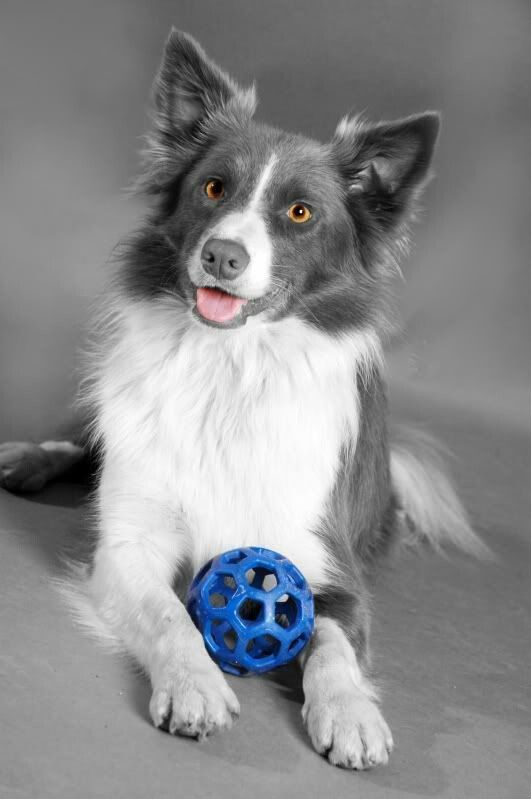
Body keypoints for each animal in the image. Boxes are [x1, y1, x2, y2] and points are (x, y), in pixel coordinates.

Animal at [0, 29, 486, 768]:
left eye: (299, 213)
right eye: (213, 187)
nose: (222, 255)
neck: (230, 370)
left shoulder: (333, 572)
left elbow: (334, 648)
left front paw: (351, 714)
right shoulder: (130, 542)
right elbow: (170, 615)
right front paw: (194, 684)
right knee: (80, 440)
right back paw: (26, 458)